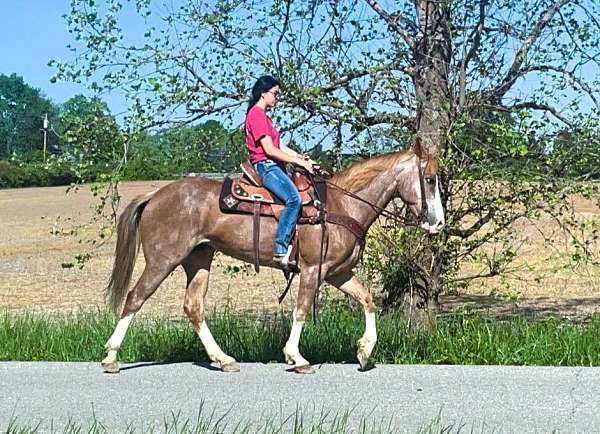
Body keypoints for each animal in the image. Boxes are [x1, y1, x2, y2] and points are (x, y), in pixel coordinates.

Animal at [101, 142, 442, 372]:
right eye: (429, 180)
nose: (437, 223)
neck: (342, 205)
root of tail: (155, 196)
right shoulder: (313, 269)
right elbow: (301, 310)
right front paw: (296, 357)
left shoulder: (337, 272)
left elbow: (367, 299)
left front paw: (364, 350)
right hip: (163, 260)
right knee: (135, 298)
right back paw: (111, 356)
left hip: (198, 259)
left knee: (193, 307)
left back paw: (222, 359)